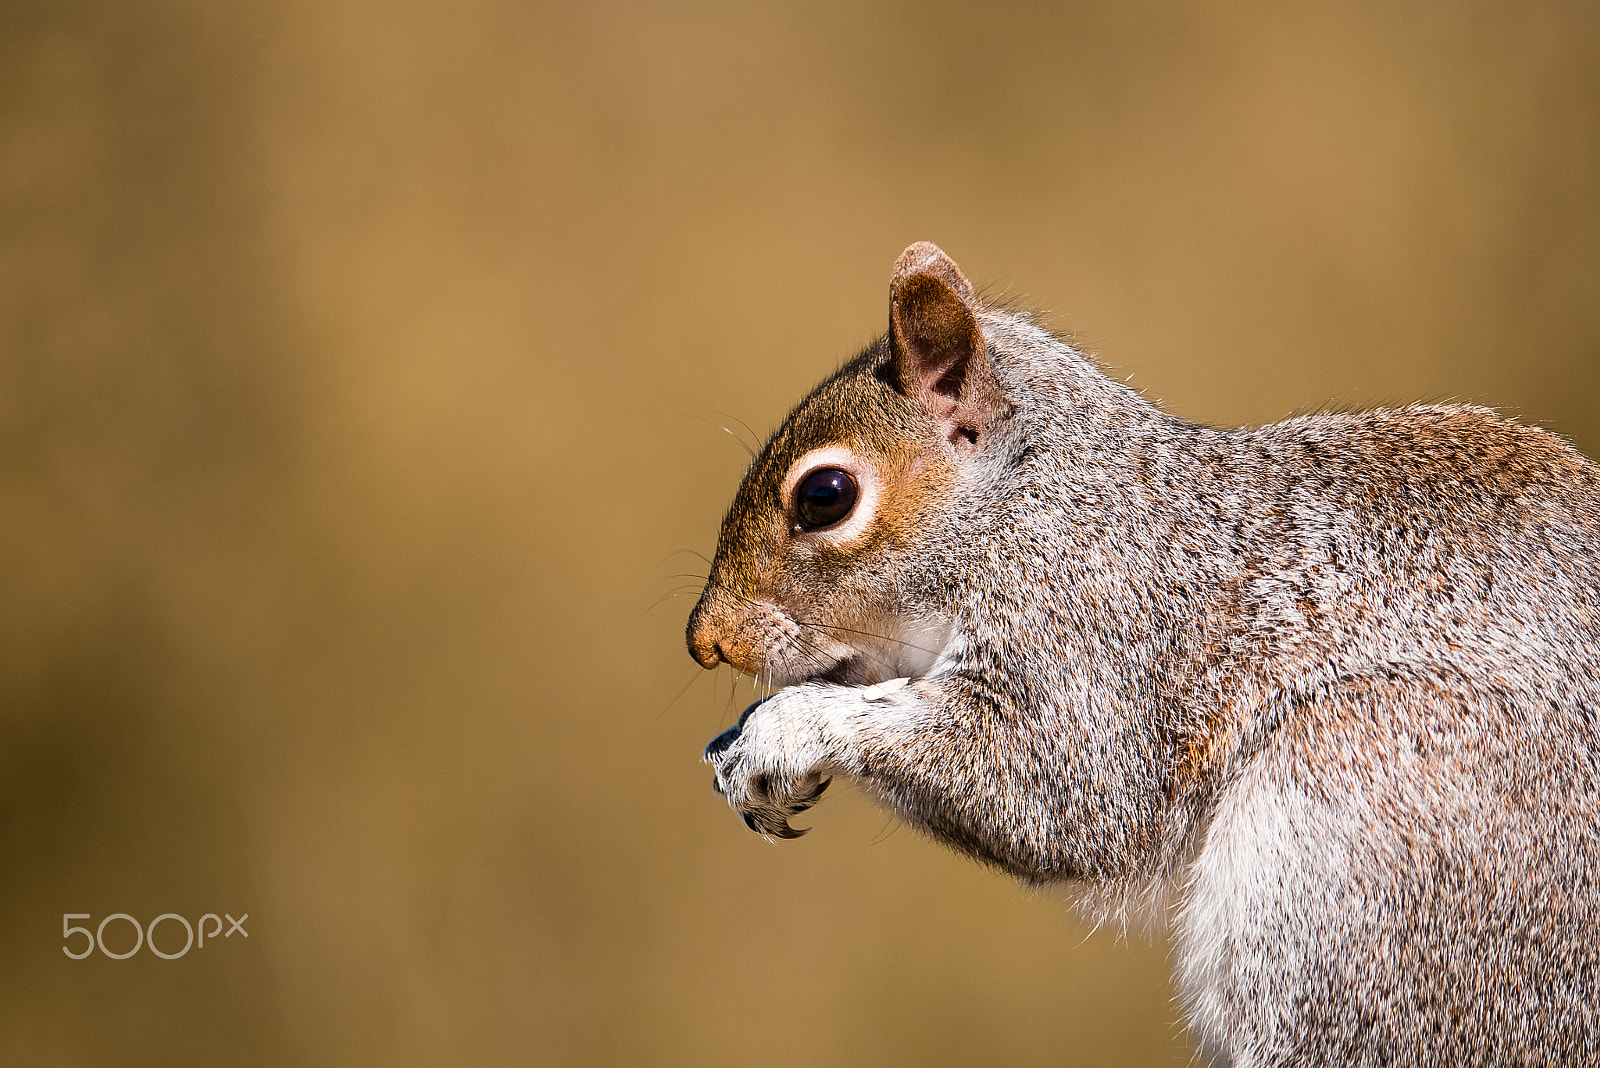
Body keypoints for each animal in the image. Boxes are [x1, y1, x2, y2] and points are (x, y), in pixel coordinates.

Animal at [687, 242, 1600, 1066]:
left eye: (825, 496)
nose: (706, 640)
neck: (1045, 495)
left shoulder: (1098, 629)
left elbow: (1059, 790)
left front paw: (781, 731)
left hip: (1362, 831)